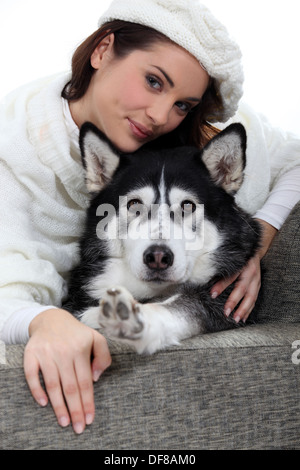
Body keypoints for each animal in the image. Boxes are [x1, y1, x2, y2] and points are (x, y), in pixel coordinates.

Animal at [65, 123, 260, 354]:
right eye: (134, 204)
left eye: (187, 205)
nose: (158, 257)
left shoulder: (223, 300)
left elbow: (180, 306)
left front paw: (131, 317)